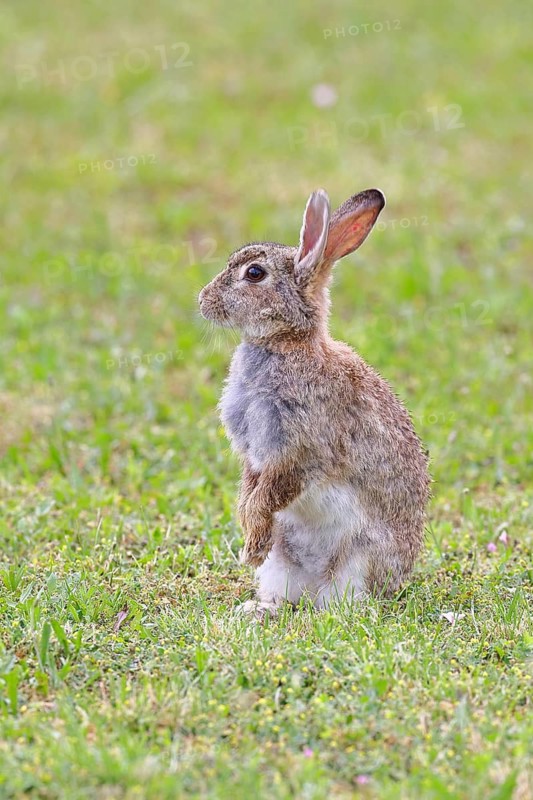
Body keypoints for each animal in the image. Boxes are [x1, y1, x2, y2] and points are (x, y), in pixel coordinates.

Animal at [198, 187, 430, 617]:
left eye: (254, 273)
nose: (203, 300)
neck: (285, 344)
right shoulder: (255, 456)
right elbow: (250, 492)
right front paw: (248, 540)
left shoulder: (302, 451)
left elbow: (270, 494)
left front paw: (250, 545)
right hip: (283, 562)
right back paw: (259, 609)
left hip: (358, 559)